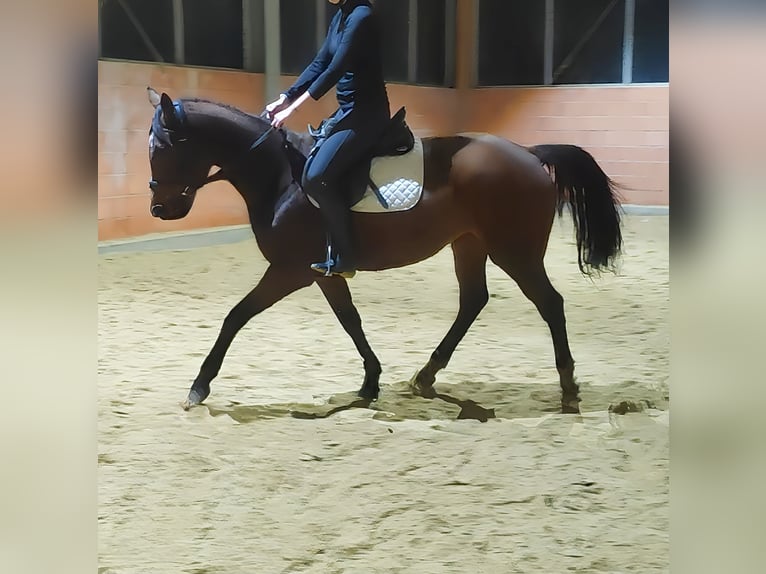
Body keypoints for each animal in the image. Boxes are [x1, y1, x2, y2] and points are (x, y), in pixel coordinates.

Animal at [144, 86, 623, 414]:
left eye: (162, 148)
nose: (159, 209)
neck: (282, 176)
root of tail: (527, 153)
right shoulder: (322, 272)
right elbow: (350, 320)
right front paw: (371, 382)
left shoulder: (289, 270)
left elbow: (235, 316)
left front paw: (199, 386)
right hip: (468, 245)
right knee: (474, 300)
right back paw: (426, 376)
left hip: (514, 250)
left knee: (550, 303)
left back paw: (568, 389)